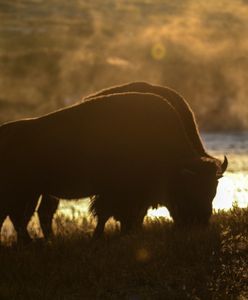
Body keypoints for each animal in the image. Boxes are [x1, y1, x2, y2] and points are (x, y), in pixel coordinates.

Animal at [0, 91, 227, 241]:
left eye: (213, 191)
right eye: (190, 190)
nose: (199, 223)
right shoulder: (114, 193)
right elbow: (107, 214)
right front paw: (100, 236)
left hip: (31, 191)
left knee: (19, 217)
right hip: (21, 191)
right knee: (17, 216)